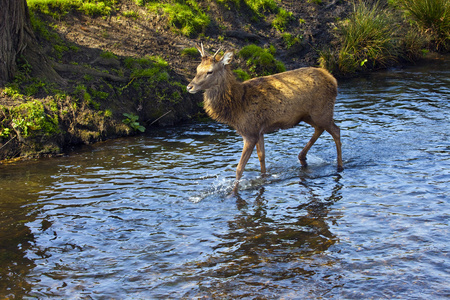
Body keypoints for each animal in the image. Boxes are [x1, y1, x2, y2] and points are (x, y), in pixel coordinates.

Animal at [188, 43, 342, 191]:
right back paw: (302, 158)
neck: (236, 106)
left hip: (322, 110)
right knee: (320, 128)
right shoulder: (259, 130)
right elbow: (261, 156)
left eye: (210, 71)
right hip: (308, 115)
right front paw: (263, 178)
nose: (189, 87)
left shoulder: (249, 131)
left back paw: (339, 166)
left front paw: (233, 192)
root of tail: (333, 79)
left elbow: (239, 168)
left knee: (336, 130)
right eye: (197, 69)